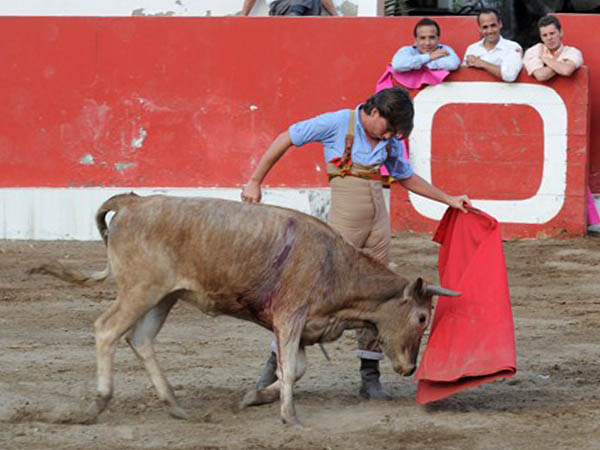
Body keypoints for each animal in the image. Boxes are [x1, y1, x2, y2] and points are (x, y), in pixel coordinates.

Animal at [31, 193, 460, 426]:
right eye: (422, 317)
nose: (409, 368)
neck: (335, 266)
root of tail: (134, 202)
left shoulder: (301, 326)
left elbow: (294, 369)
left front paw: (254, 397)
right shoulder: (290, 317)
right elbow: (290, 369)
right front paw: (290, 417)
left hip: (163, 297)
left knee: (141, 339)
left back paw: (175, 406)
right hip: (140, 290)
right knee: (107, 329)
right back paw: (100, 401)